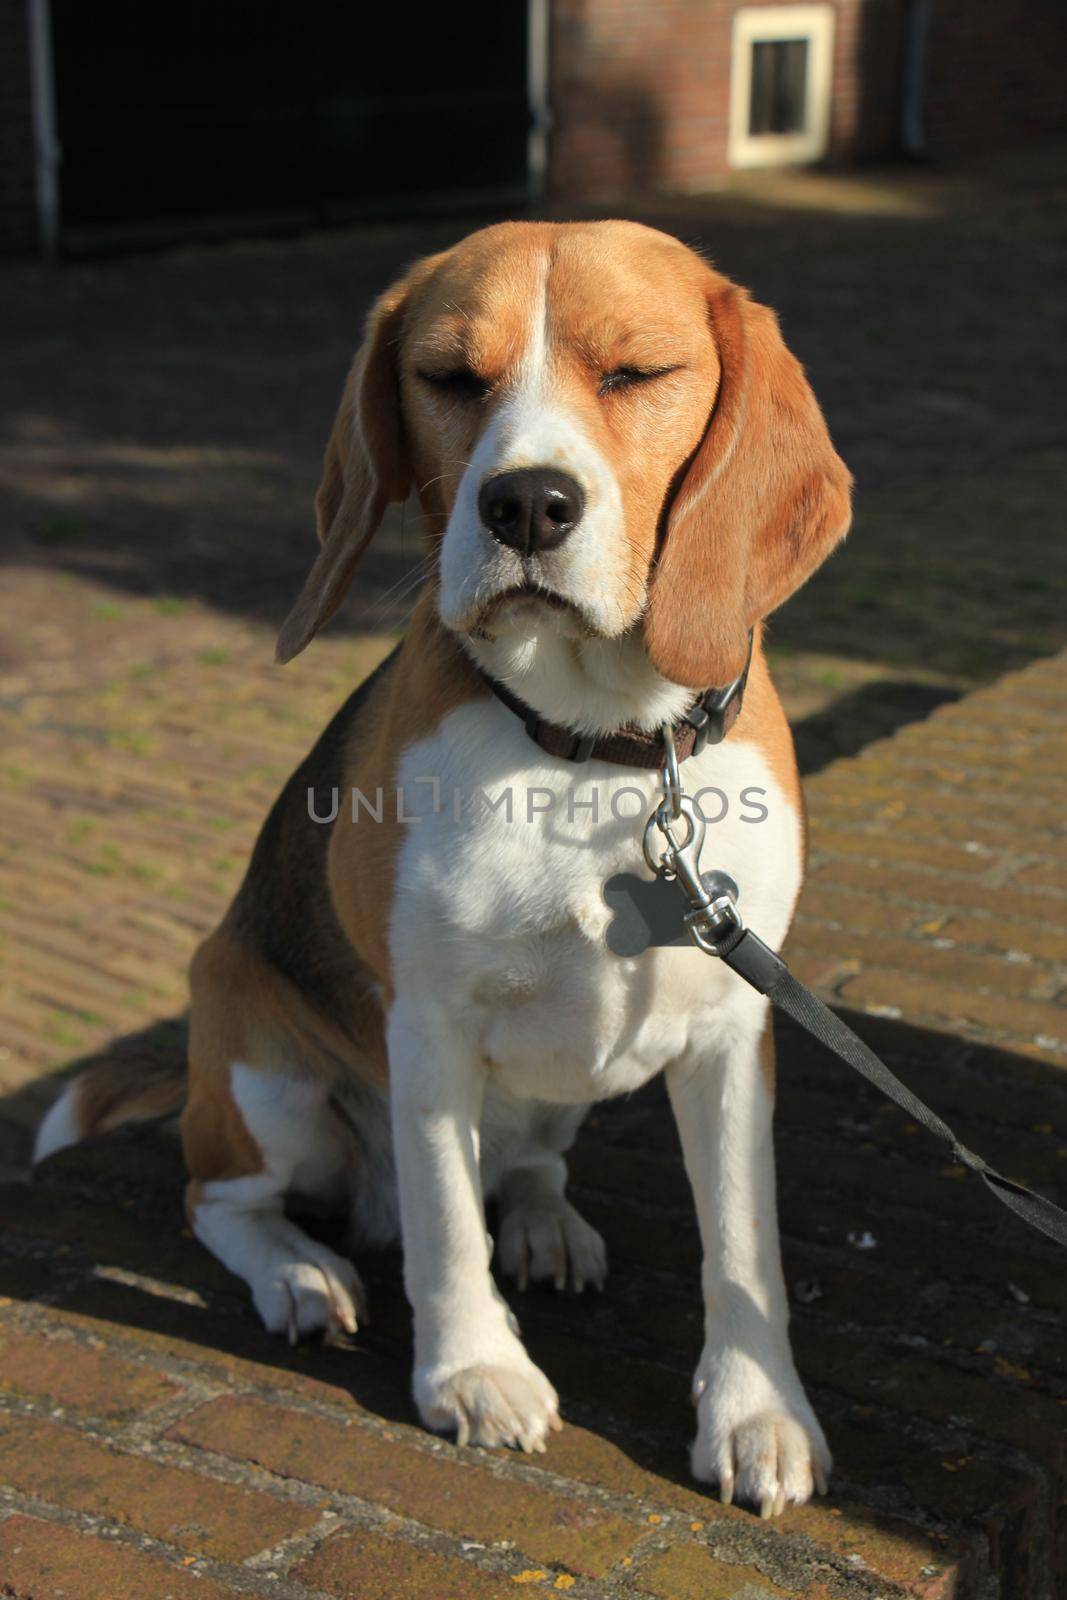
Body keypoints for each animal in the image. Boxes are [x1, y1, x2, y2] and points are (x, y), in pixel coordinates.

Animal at [39, 219, 851, 1516]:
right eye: (448, 378)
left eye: (635, 373)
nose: (526, 503)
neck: (590, 744)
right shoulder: (424, 1024)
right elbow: (439, 1225)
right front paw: (473, 1371)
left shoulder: (735, 1031)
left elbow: (741, 1243)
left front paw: (755, 1410)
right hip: (267, 1077)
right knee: (226, 1198)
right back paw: (301, 1275)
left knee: (521, 1165)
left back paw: (542, 1221)